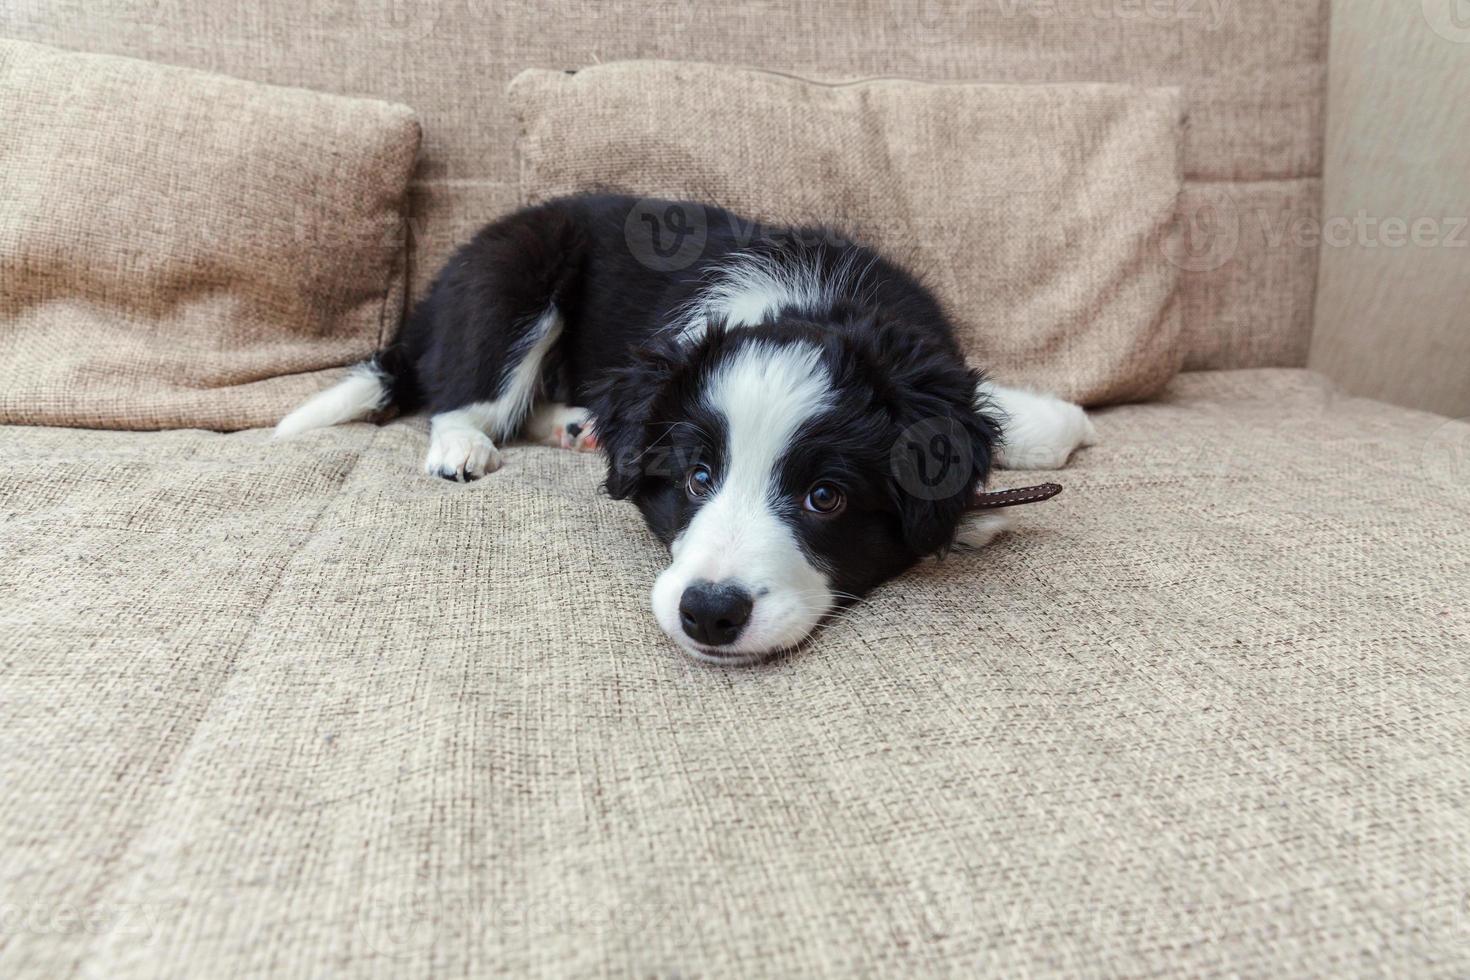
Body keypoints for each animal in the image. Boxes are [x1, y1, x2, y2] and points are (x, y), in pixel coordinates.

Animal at [276, 193, 1099, 664]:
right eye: (698, 479)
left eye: (826, 498)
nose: (709, 613)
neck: (813, 304)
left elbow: (1029, 420)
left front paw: (1021, 457)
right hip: (514, 272)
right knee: (463, 388)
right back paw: (464, 446)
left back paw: (577, 426)